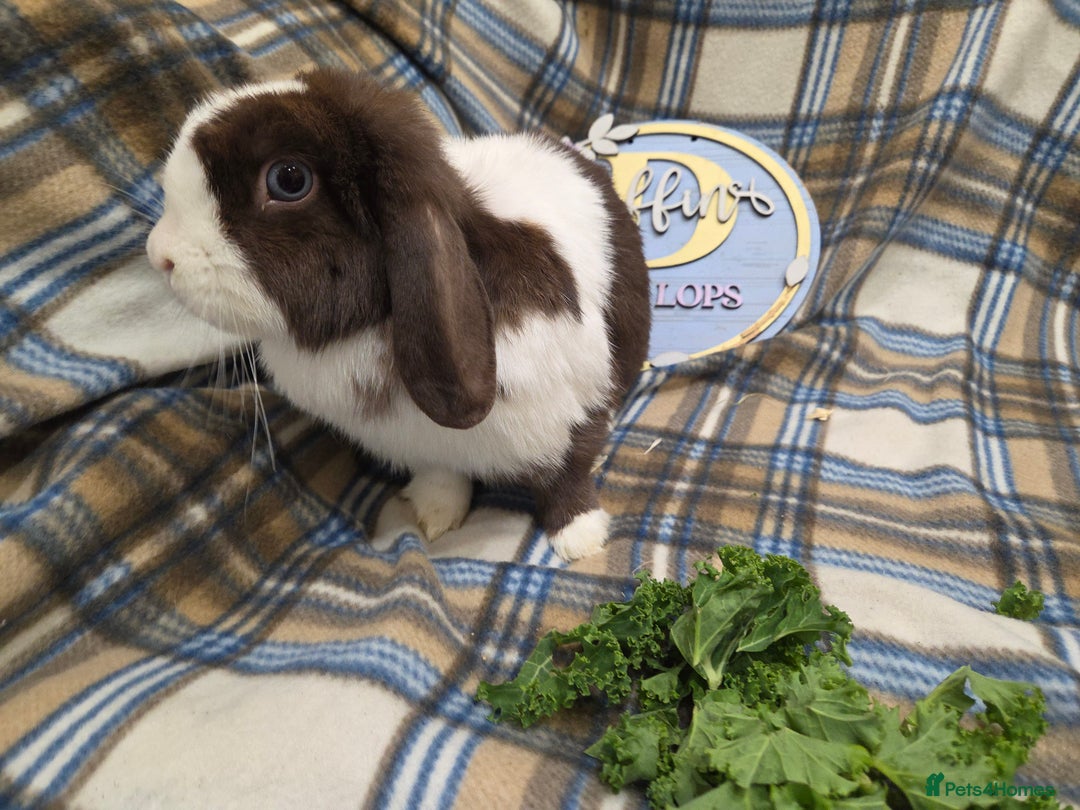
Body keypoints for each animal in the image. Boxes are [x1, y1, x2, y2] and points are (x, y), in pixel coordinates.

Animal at [145, 68, 651, 561]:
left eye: (289, 179)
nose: (158, 255)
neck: (365, 330)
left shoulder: (568, 414)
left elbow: (566, 476)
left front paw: (581, 539)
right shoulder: (430, 450)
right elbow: (443, 475)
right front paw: (434, 514)